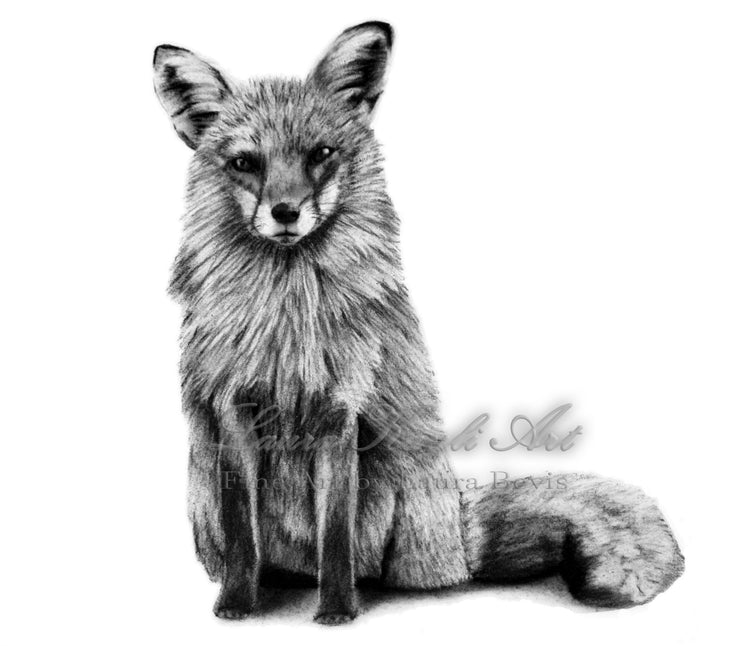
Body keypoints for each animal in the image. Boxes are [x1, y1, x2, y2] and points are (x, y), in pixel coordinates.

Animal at [153, 21, 684, 625]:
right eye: (246, 163)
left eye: (321, 154)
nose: (286, 212)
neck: (289, 320)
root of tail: (460, 532)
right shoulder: (233, 412)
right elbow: (244, 531)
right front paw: (239, 605)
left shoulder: (340, 413)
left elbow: (334, 533)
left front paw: (337, 612)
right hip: (204, 499)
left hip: (393, 500)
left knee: (391, 569)